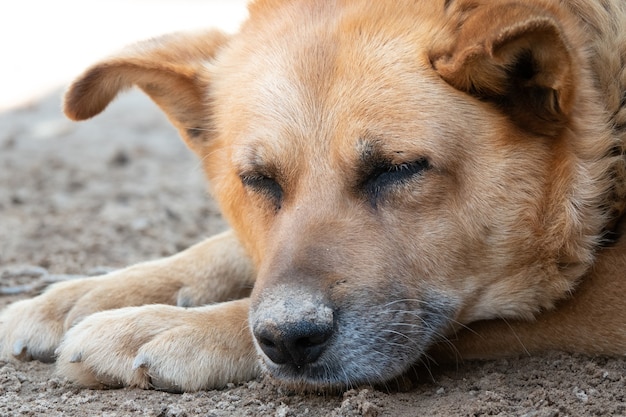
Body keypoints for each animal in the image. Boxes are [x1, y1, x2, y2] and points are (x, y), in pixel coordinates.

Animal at [1, 0, 624, 392]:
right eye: (260, 179)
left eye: (399, 169)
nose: (287, 340)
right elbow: (222, 249)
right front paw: (86, 294)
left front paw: (169, 326)